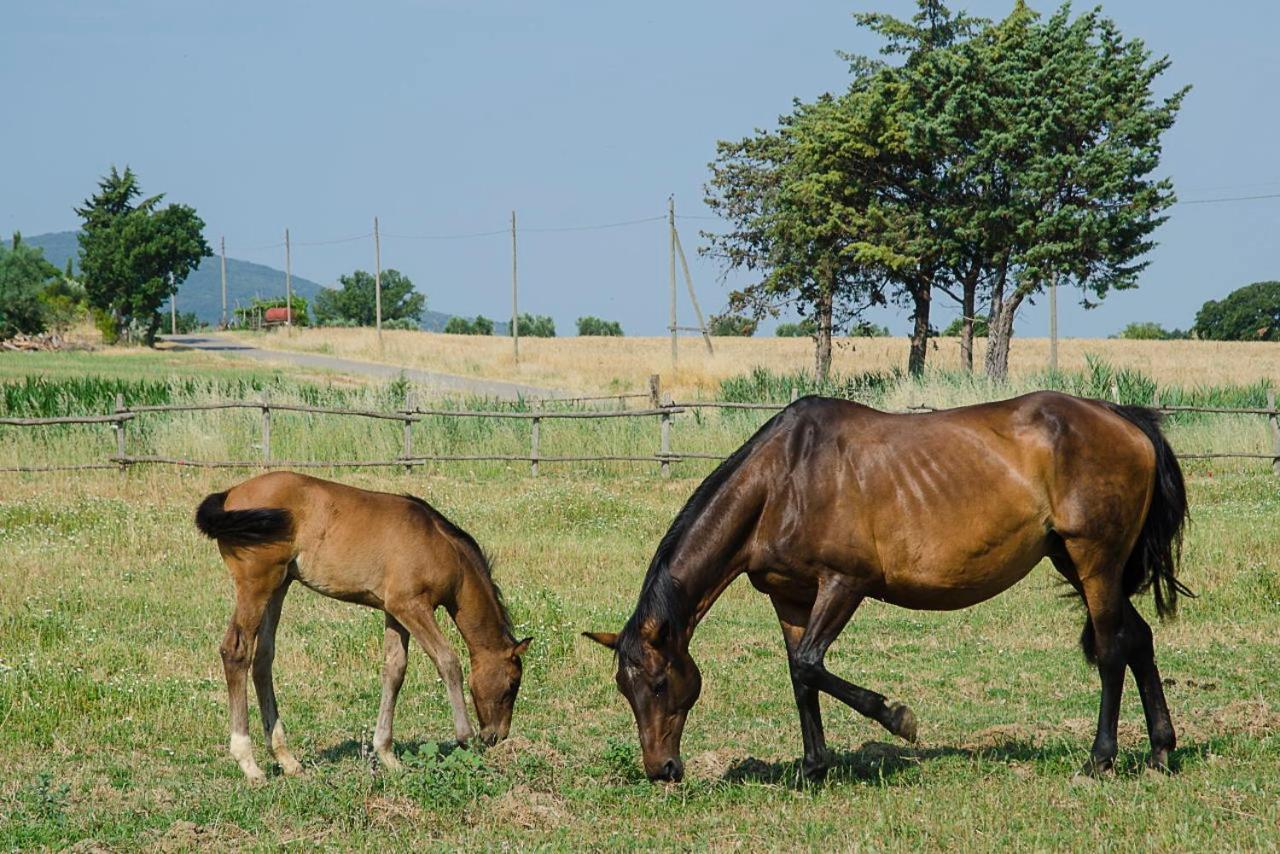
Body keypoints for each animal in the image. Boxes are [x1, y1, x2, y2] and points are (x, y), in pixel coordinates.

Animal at [193, 471, 529, 783]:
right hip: (256, 584)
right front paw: (464, 738)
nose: (496, 736)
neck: (440, 545)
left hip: (279, 585)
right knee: (236, 651)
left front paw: (388, 755)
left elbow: (395, 670)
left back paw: (287, 760)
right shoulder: (412, 606)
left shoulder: (395, 610)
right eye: (512, 685)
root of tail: (230, 493)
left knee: (263, 659)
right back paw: (249, 764)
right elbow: (448, 661)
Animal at [583, 391, 1187, 783]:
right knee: (1138, 639)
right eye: (624, 688)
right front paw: (813, 768)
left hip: (1094, 561)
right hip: (1076, 563)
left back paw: (1100, 759)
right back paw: (1161, 753)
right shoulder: (790, 596)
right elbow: (800, 674)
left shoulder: (844, 584)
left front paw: (898, 719)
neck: (785, 479)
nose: (662, 770)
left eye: (659, 683)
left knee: (1111, 650)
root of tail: (1125, 419)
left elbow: (812, 665)